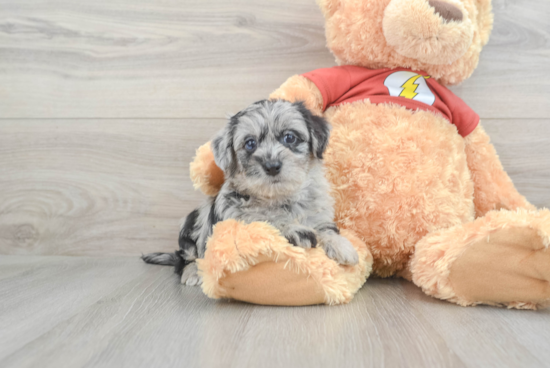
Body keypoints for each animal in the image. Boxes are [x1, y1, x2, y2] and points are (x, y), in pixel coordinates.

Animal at [142, 100, 360, 284]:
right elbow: (265, 221)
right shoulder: (237, 221)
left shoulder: (319, 213)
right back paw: (193, 272)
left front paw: (342, 246)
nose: (272, 166)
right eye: (250, 143)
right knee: (184, 258)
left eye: (289, 137)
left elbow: (326, 228)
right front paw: (293, 229)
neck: (279, 197)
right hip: (190, 227)